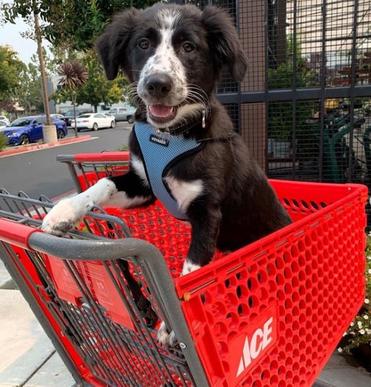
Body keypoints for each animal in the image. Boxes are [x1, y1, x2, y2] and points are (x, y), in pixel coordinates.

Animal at [42, 4, 292, 346]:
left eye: (188, 47)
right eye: (143, 44)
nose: (157, 84)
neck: (170, 136)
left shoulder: (207, 212)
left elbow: (191, 273)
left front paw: (175, 325)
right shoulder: (142, 186)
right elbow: (103, 182)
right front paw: (65, 211)